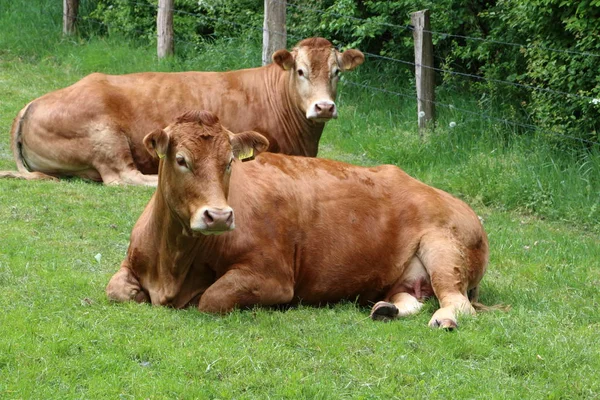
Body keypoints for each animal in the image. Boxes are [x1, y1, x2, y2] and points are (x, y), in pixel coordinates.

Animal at [0, 36, 364, 185]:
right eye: (300, 71)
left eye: (337, 72)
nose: (324, 106)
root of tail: (33, 102)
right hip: (106, 138)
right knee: (123, 177)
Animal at [106, 110, 492, 328]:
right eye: (181, 159)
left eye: (228, 163)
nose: (219, 215)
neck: (172, 264)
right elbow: (115, 290)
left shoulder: (272, 277)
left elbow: (210, 299)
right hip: (403, 277)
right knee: (410, 298)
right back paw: (385, 309)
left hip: (444, 250)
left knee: (457, 302)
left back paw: (444, 320)